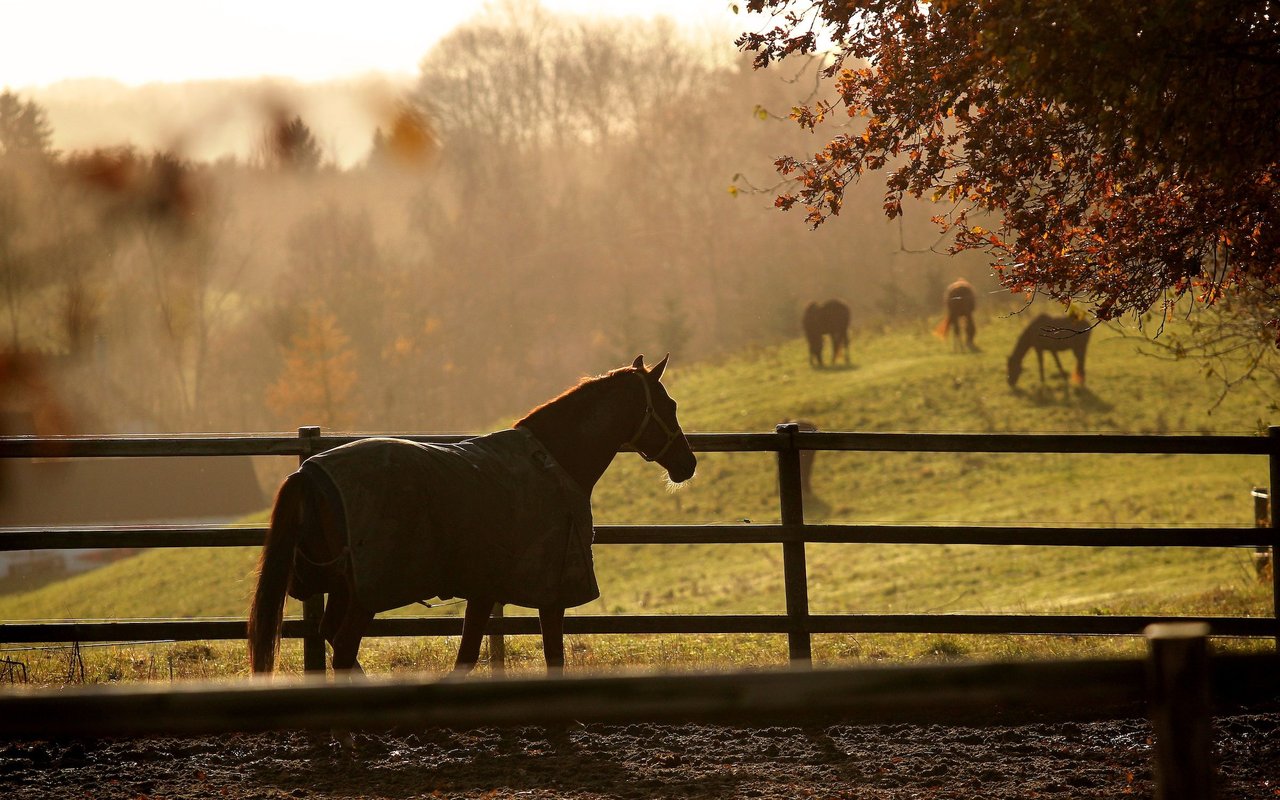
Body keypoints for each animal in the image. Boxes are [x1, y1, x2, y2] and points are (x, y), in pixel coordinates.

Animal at [248, 355, 696, 678]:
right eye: (669, 404)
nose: (687, 464)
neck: (554, 461)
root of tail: (308, 472)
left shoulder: (484, 589)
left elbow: (464, 659)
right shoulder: (551, 595)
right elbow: (553, 659)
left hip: (344, 588)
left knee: (333, 642)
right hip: (363, 596)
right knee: (342, 651)